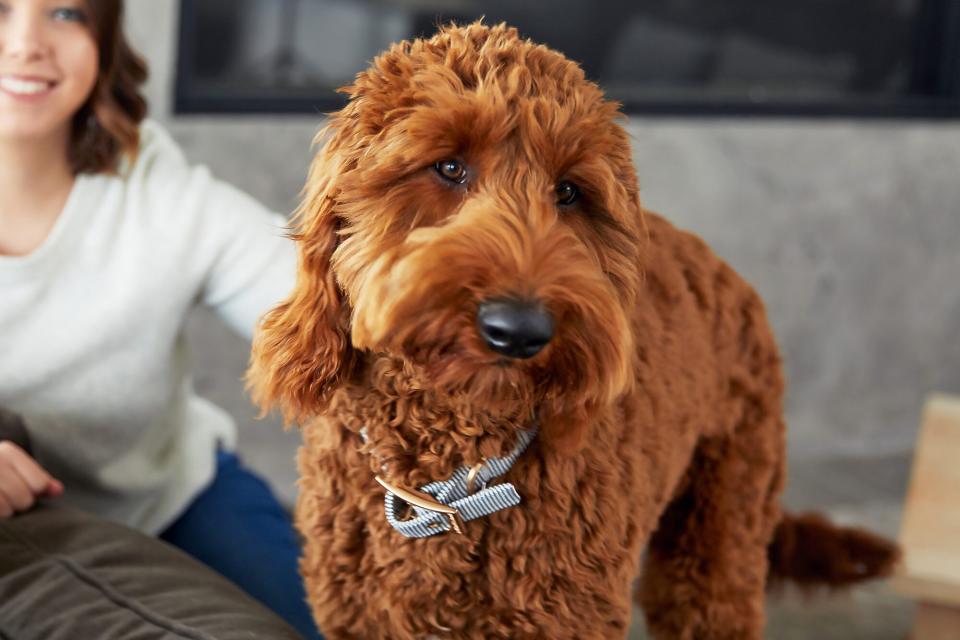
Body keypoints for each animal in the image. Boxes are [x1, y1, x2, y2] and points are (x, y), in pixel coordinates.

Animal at [246, 21, 892, 640]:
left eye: (568, 192)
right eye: (449, 166)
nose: (518, 330)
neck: (455, 480)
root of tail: (724, 269)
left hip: (722, 530)